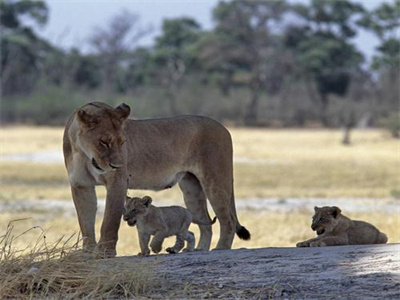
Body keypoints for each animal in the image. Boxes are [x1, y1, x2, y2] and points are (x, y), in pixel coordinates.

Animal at [63, 102, 250, 256]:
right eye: (103, 142)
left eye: (123, 142)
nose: (117, 166)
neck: (84, 154)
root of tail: (224, 127)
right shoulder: (80, 186)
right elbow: (85, 222)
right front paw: (87, 252)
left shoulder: (118, 182)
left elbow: (110, 220)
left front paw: (104, 252)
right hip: (191, 188)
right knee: (204, 221)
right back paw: (200, 249)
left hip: (215, 179)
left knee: (228, 220)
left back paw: (221, 248)